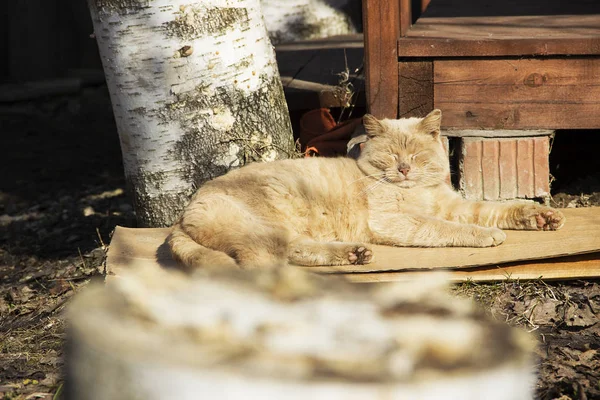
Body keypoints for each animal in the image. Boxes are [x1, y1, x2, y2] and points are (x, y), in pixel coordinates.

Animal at [168, 109, 564, 268]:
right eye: (391, 155)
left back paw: (355, 254)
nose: (404, 169)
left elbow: (495, 209)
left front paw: (541, 217)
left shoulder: (456, 206)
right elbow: (446, 227)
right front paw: (484, 235)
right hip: (266, 228)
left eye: (416, 154)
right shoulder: (398, 220)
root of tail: (183, 213)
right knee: (274, 256)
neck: (418, 191)